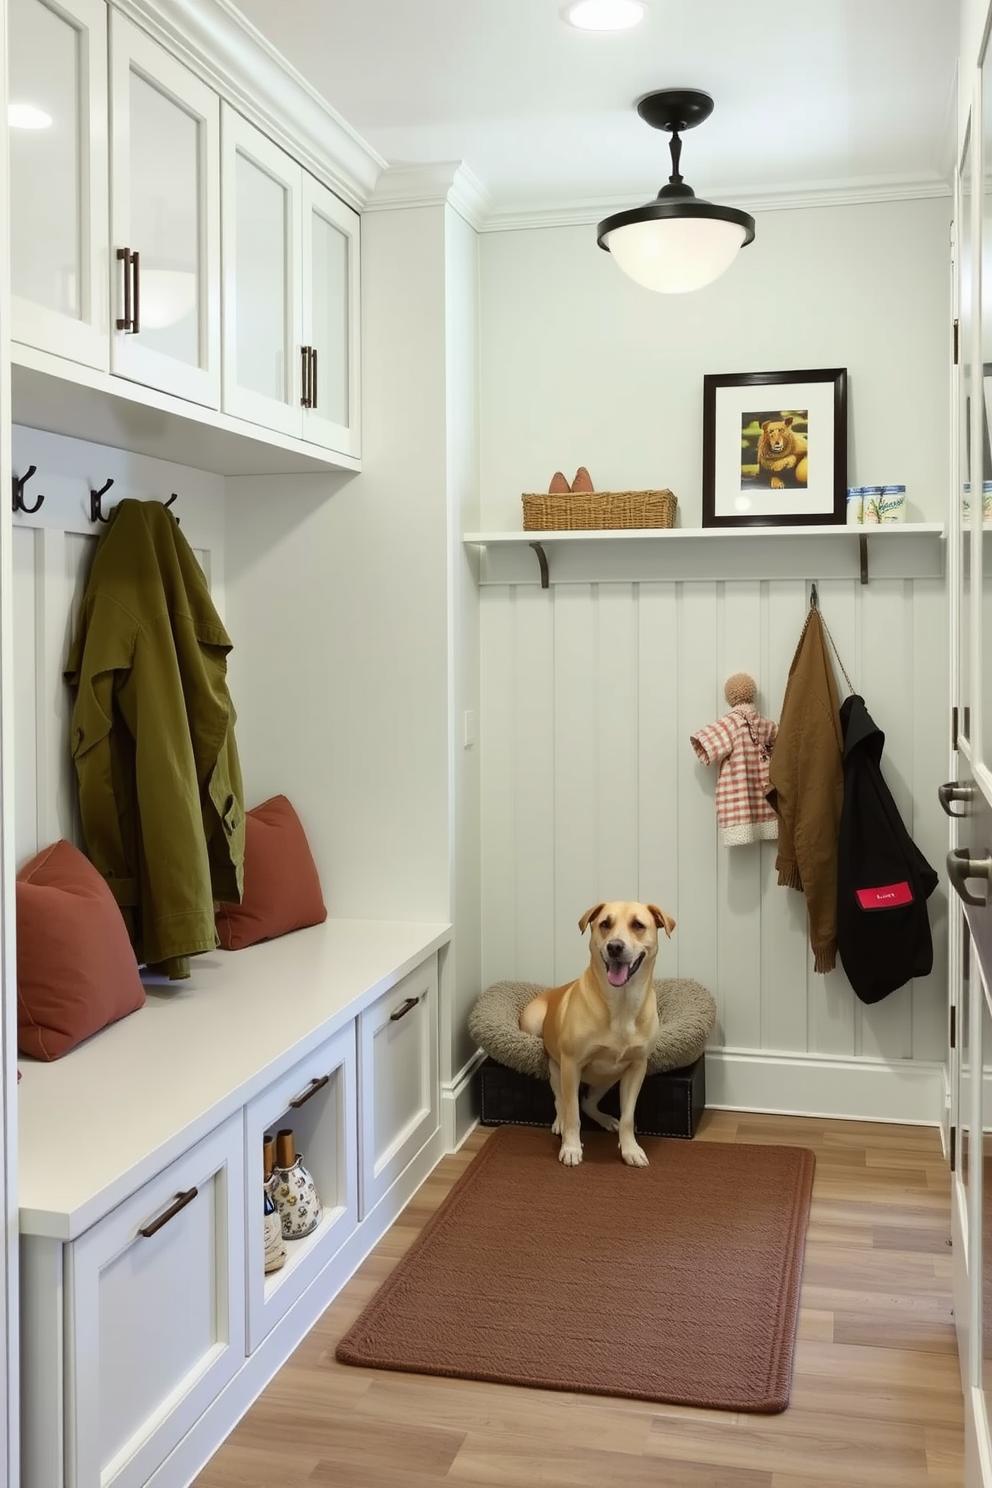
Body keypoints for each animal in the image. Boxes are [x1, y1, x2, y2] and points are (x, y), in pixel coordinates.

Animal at [520, 898, 675, 1166]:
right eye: (605, 924)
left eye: (638, 925)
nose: (615, 947)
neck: (621, 1002)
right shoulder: (571, 1064)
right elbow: (572, 1114)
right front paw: (571, 1148)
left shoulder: (636, 1067)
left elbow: (628, 1117)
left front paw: (630, 1149)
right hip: (544, 1043)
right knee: (562, 1100)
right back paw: (560, 1123)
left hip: (608, 1077)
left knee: (587, 1102)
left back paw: (607, 1120)